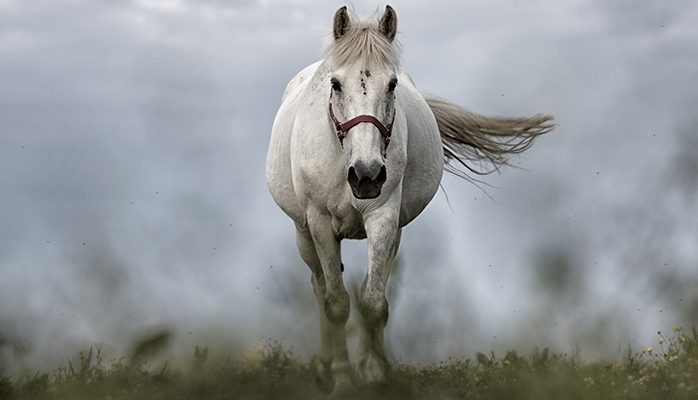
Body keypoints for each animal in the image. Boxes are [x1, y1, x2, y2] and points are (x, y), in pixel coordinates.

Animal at [264, 5, 552, 394]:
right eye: (336, 84)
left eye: (392, 85)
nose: (367, 175)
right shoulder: (320, 222)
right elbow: (336, 303)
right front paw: (341, 378)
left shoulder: (384, 218)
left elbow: (373, 302)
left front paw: (374, 373)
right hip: (303, 232)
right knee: (319, 286)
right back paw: (324, 368)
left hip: (393, 233)